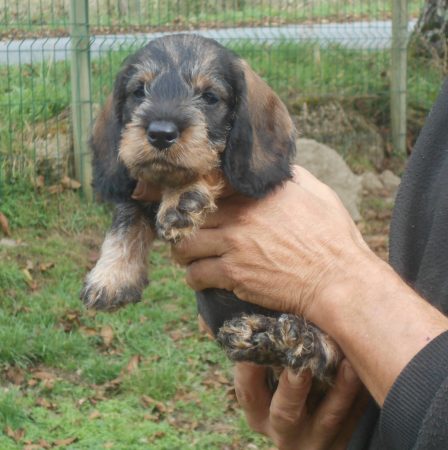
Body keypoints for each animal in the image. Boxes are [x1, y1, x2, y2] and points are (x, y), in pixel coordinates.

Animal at [81, 34, 340, 386]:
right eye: (139, 91)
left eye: (209, 96)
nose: (160, 133)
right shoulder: (137, 188)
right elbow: (125, 218)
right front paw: (111, 277)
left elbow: (210, 165)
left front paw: (182, 199)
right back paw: (257, 337)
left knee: (331, 357)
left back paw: (301, 340)